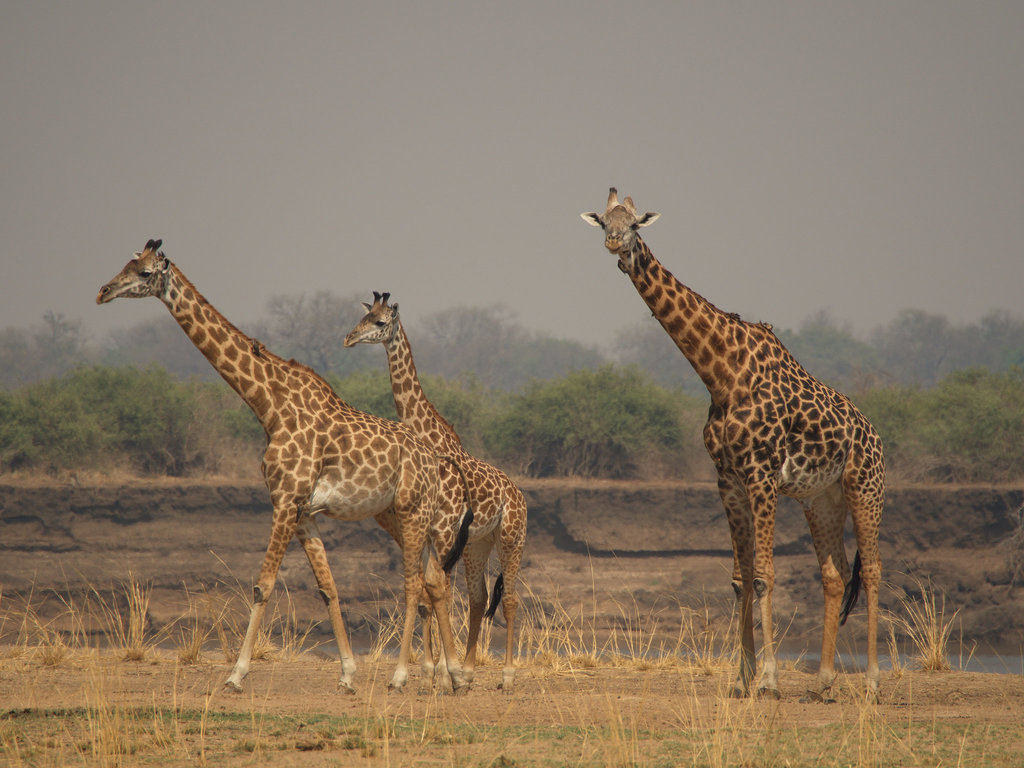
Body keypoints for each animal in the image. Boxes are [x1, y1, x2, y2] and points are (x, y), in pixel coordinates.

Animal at [96, 239, 473, 694]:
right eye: (127, 262)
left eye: (146, 273)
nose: (103, 292)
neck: (268, 405)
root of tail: (437, 460)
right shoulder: (303, 510)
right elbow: (328, 588)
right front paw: (347, 674)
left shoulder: (283, 500)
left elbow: (263, 585)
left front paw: (236, 675)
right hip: (405, 518)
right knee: (434, 581)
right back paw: (452, 676)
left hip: (414, 512)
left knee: (417, 583)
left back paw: (407, 676)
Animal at [344, 293, 527, 691]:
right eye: (364, 315)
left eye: (381, 322)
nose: (349, 338)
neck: (430, 440)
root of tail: (519, 496)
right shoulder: (434, 531)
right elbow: (432, 591)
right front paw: (435, 671)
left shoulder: (444, 529)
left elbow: (435, 587)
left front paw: (440, 672)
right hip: (479, 544)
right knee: (479, 598)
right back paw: (469, 672)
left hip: (511, 537)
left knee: (509, 599)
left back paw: (506, 676)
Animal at [582, 189, 884, 700]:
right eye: (603, 220)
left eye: (636, 224)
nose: (614, 242)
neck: (721, 375)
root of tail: (877, 437)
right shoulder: (727, 479)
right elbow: (741, 579)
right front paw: (741, 679)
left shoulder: (761, 475)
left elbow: (764, 576)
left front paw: (769, 681)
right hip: (822, 499)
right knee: (835, 574)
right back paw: (824, 682)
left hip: (865, 487)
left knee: (874, 570)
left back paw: (874, 683)